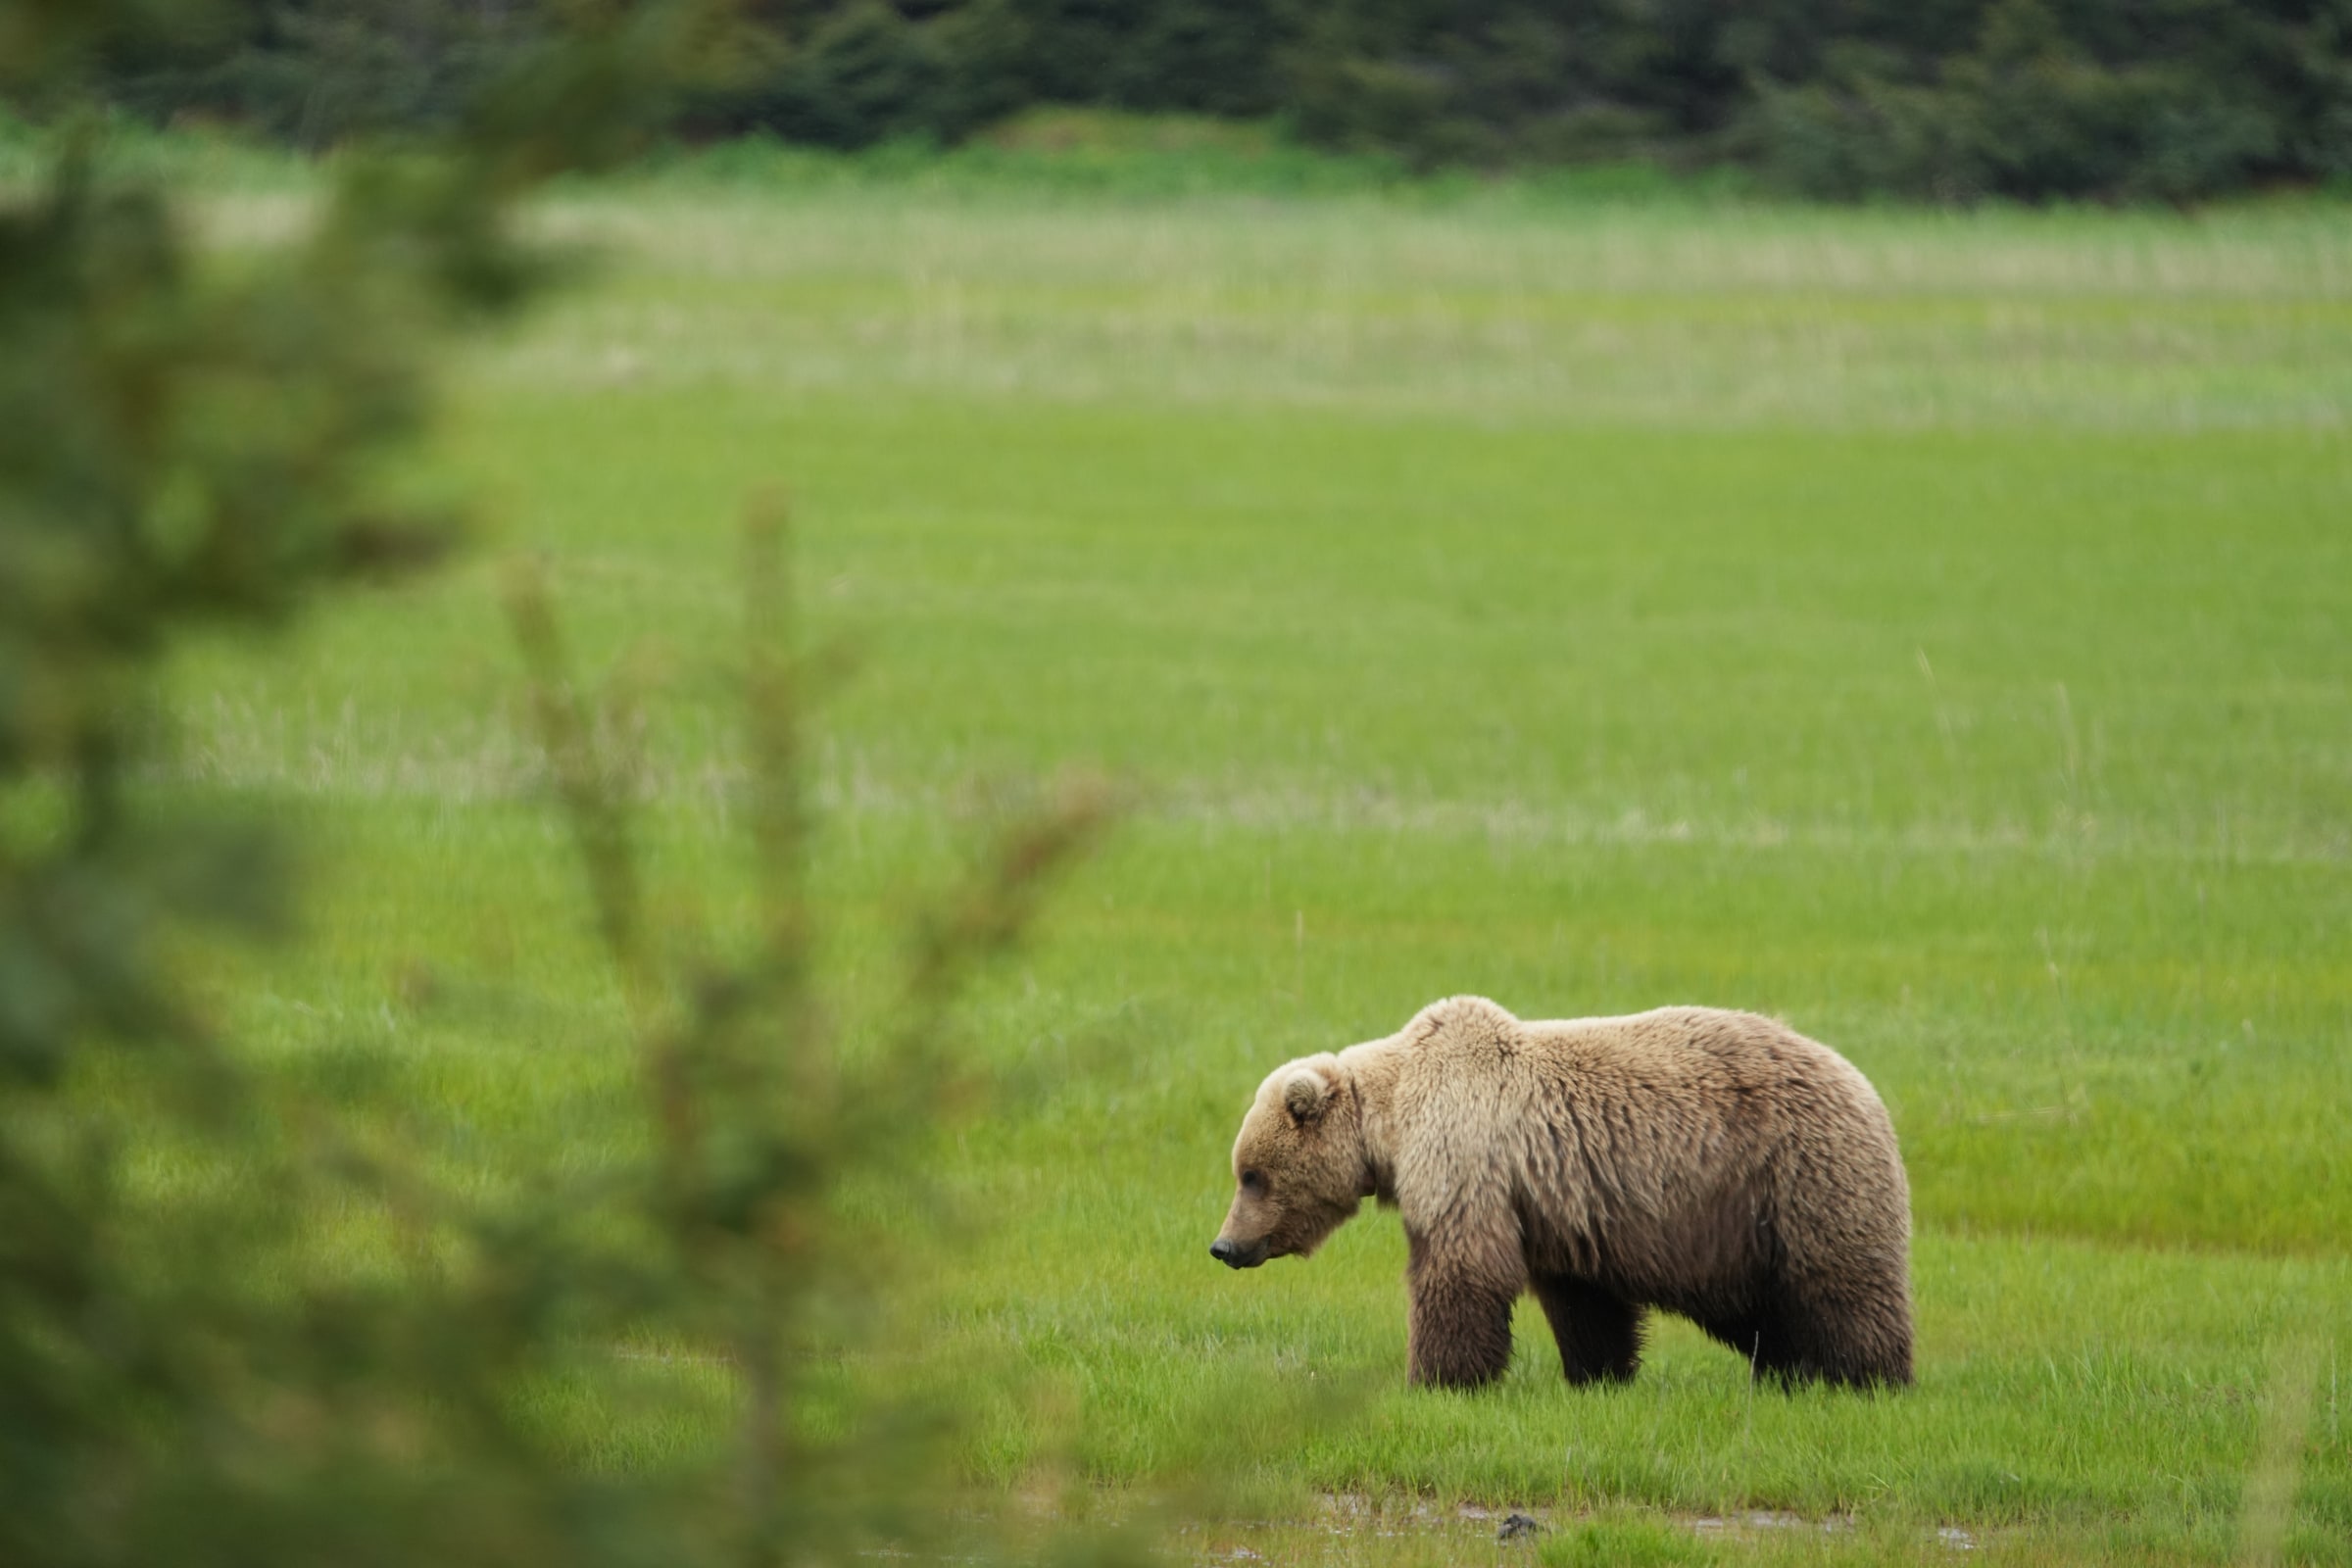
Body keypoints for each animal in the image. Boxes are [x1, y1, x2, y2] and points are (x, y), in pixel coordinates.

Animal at [1209, 996, 1912, 1390]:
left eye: (1252, 1174)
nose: (1224, 1246)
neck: (1393, 1118)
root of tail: (1867, 1087)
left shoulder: (1465, 1155)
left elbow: (1461, 1268)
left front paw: (1437, 1379)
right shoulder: (1558, 1203)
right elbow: (1584, 1302)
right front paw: (1598, 1375)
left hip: (1799, 1176)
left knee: (1842, 1289)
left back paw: (1865, 1379)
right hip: (1746, 1230)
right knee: (1768, 1312)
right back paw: (1787, 1374)